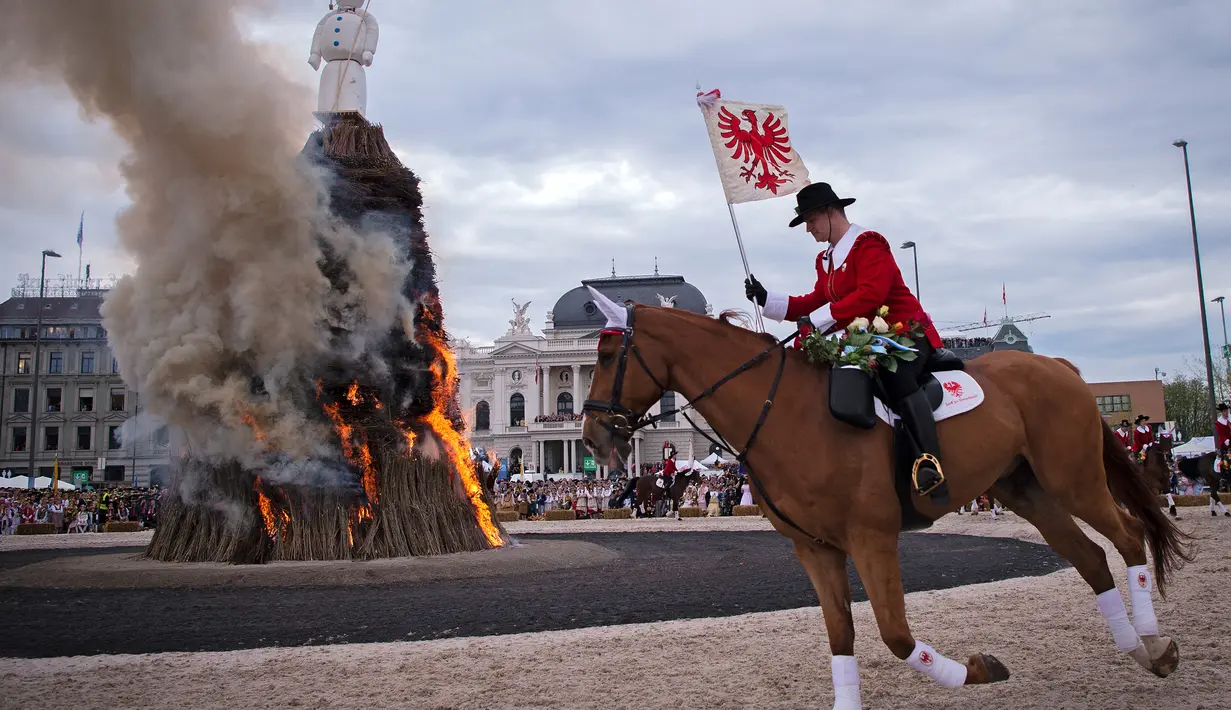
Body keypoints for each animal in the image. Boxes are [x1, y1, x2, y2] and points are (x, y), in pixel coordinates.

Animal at [581, 296, 1196, 703]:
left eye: (609, 357)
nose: (591, 438)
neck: (784, 412)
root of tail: (1055, 366)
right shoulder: (816, 549)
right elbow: (841, 636)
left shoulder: (872, 539)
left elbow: (896, 635)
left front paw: (978, 669)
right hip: (1027, 490)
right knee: (1090, 557)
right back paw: (1138, 649)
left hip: (1074, 480)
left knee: (1127, 537)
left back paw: (1154, 644)